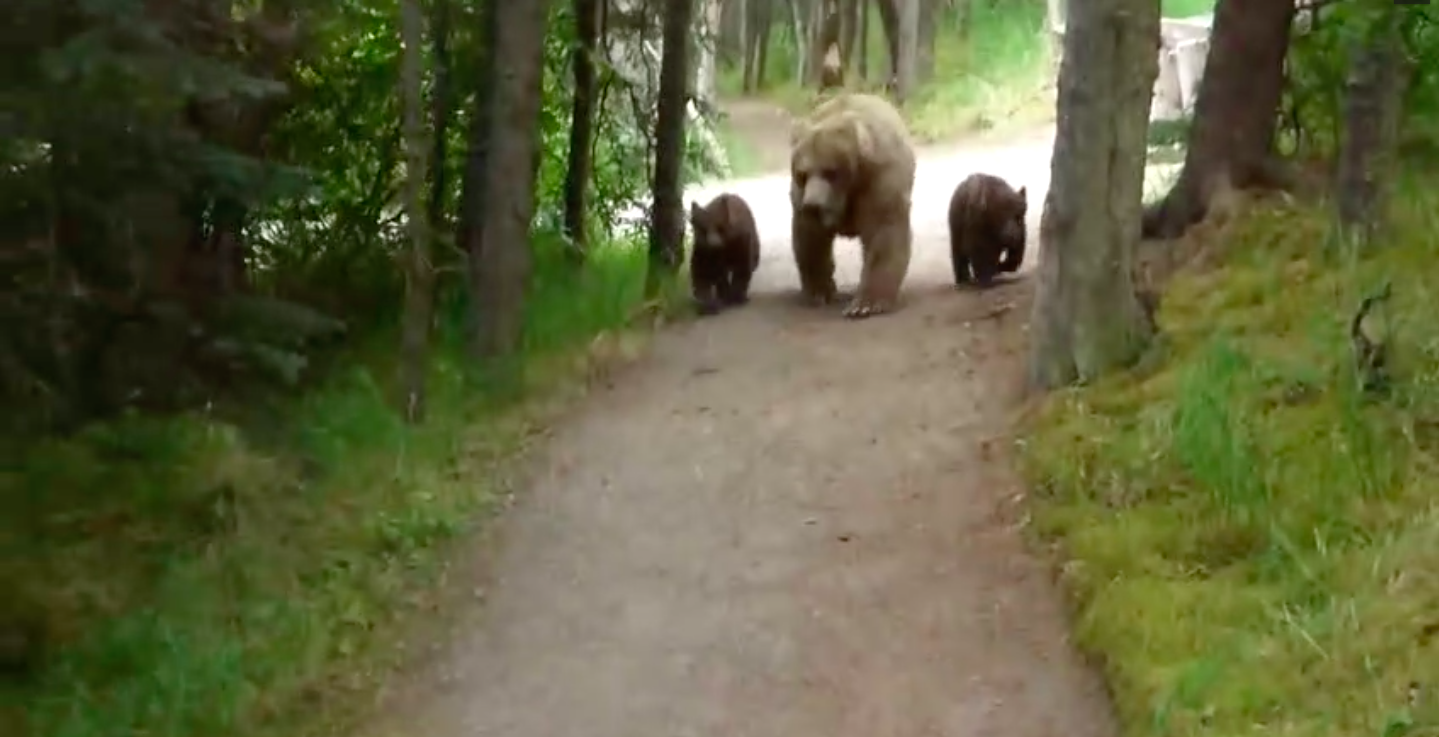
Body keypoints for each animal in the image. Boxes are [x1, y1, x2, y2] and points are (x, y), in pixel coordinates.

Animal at [788, 90, 909, 318]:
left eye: (830, 171)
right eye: (802, 174)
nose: (813, 204)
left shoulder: (878, 183)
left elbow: (883, 231)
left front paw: (866, 304)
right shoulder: (802, 198)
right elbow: (811, 239)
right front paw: (820, 292)